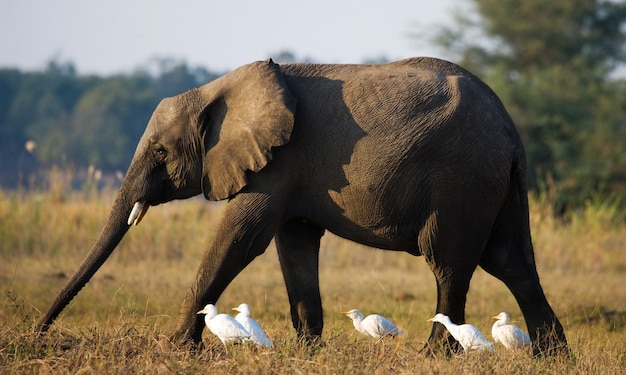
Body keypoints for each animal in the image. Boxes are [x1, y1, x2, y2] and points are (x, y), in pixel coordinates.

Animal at [36, 57, 568, 356]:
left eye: (162, 153)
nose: (38, 335)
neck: (217, 89)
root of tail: (511, 133)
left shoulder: (280, 161)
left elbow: (242, 238)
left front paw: (177, 350)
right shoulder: (291, 173)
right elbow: (293, 245)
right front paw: (307, 352)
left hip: (462, 179)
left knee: (450, 263)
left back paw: (434, 356)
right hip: (493, 183)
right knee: (511, 261)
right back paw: (551, 357)